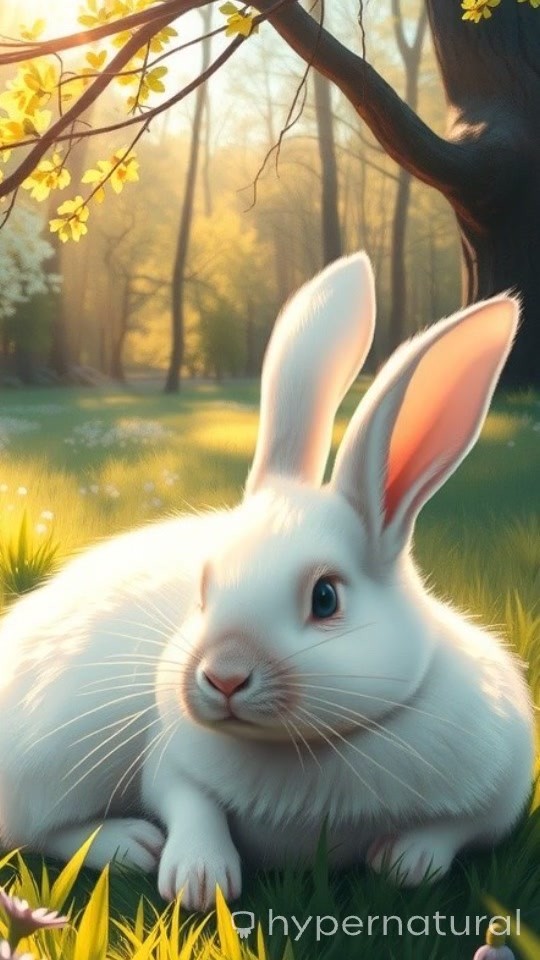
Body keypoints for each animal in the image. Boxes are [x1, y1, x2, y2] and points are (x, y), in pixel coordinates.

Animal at [0, 253, 534, 914]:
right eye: (202, 590)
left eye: (325, 598)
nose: (224, 677)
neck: (302, 746)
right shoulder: (167, 764)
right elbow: (190, 806)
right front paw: (198, 880)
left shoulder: (501, 789)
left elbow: (457, 829)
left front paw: (405, 860)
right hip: (54, 750)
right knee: (34, 828)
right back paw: (131, 844)